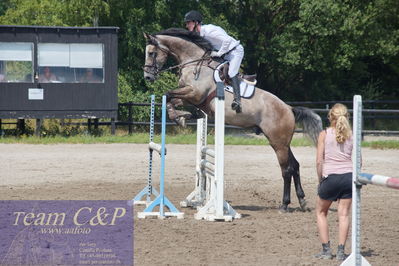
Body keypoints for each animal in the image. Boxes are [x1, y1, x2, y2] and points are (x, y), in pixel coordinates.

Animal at [142, 27, 324, 212]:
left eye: (151, 53)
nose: (148, 77)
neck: (193, 63)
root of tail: (289, 109)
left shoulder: (195, 94)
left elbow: (168, 93)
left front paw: (180, 117)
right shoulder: (190, 97)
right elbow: (171, 99)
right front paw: (182, 117)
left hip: (278, 143)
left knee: (286, 170)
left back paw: (284, 205)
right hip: (282, 142)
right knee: (295, 166)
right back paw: (302, 201)